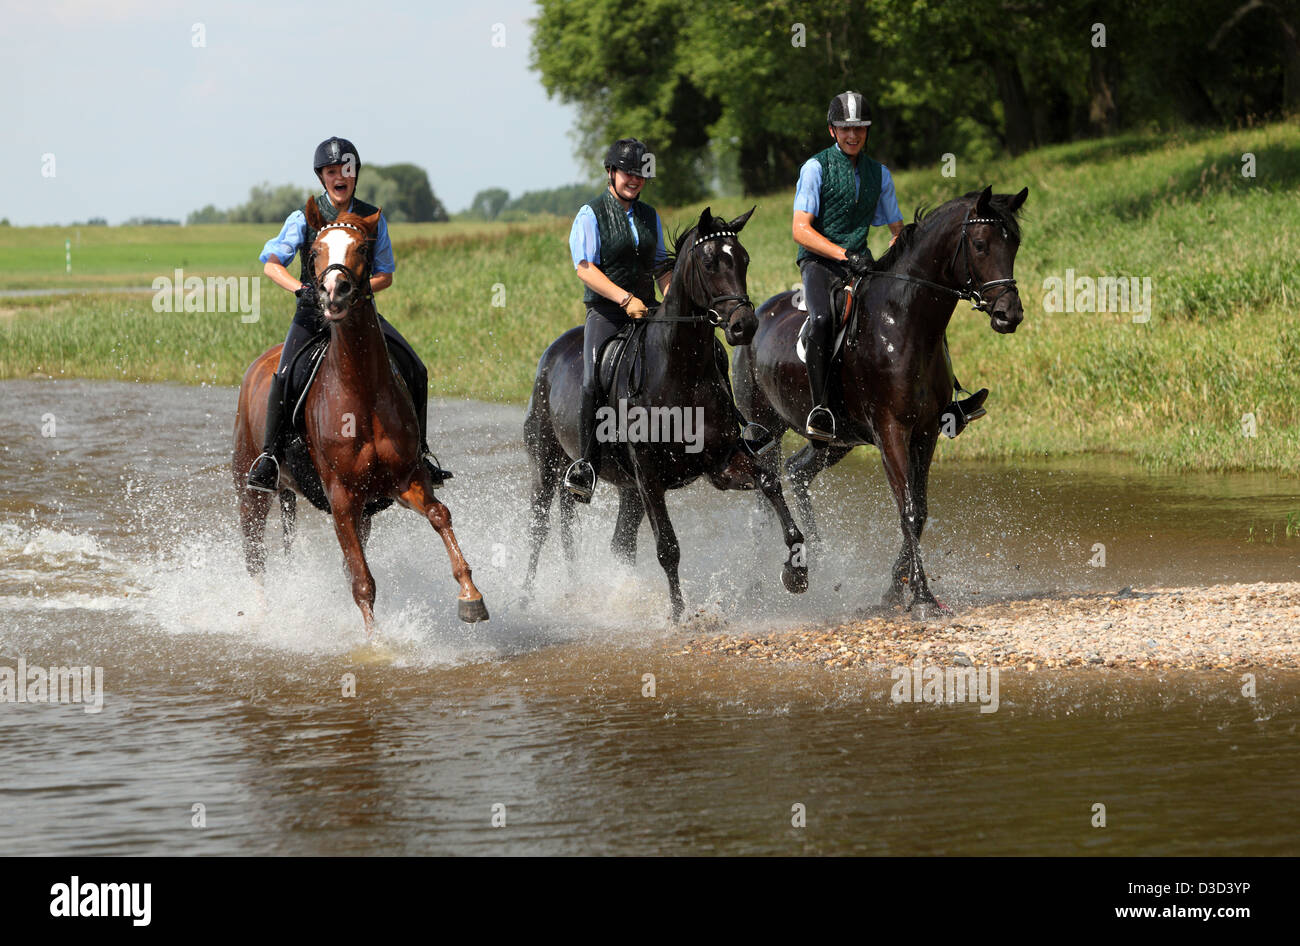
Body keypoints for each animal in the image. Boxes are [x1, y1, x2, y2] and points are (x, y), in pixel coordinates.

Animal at [231, 200, 486, 636]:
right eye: (315, 251)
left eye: (363, 248)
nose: (334, 292)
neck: (361, 390)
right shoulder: (342, 498)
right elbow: (362, 581)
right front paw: (376, 642)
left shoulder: (405, 481)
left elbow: (440, 515)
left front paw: (470, 594)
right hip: (251, 491)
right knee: (254, 556)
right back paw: (265, 615)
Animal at [522, 206, 806, 621]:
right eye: (709, 262)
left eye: (744, 259)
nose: (744, 326)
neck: (679, 372)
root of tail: (551, 354)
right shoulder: (649, 476)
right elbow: (668, 547)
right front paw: (678, 616)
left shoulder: (721, 463)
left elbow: (769, 482)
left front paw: (797, 568)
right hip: (548, 464)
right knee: (539, 527)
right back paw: (526, 597)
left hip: (628, 489)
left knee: (620, 543)